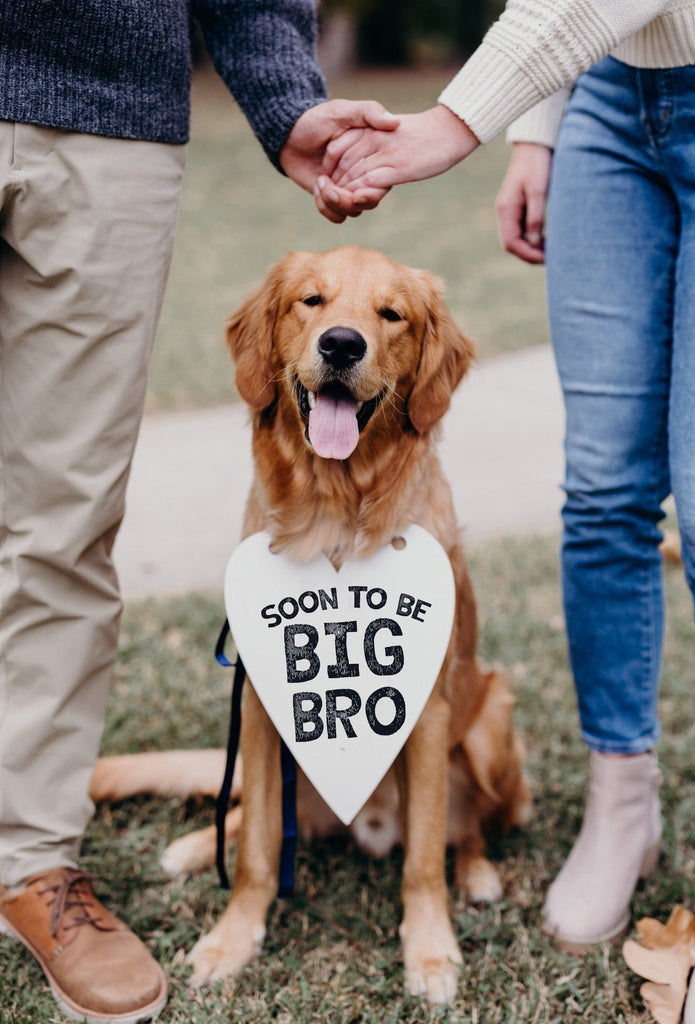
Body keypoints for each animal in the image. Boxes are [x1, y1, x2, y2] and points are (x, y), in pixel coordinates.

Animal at [91, 249, 528, 1007]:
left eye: (391, 315)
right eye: (311, 301)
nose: (342, 345)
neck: (336, 512)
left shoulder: (431, 710)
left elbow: (423, 859)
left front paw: (430, 952)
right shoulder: (262, 707)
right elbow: (257, 853)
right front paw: (231, 939)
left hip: (493, 719)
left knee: (469, 830)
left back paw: (476, 875)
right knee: (243, 817)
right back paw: (194, 845)